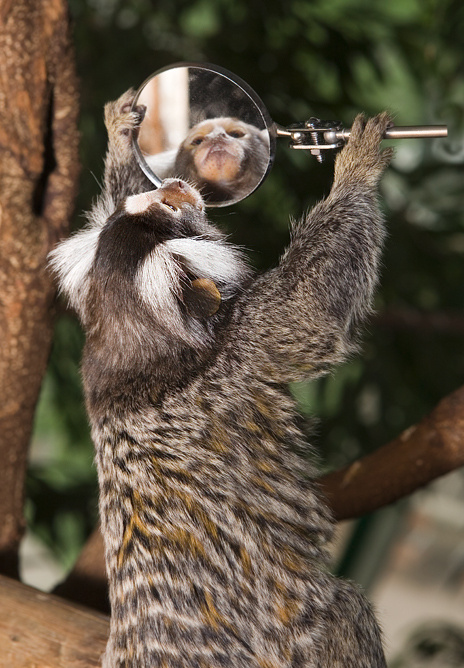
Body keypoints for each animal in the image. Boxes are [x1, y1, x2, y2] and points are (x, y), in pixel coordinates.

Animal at [49, 88, 393, 667]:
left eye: (152, 198)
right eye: (167, 206)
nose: (173, 186)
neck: (140, 354)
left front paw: (122, 137)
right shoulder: (239, 354)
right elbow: (311, 311)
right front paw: (355, 167)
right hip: (296, 641)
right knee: (345, 608)